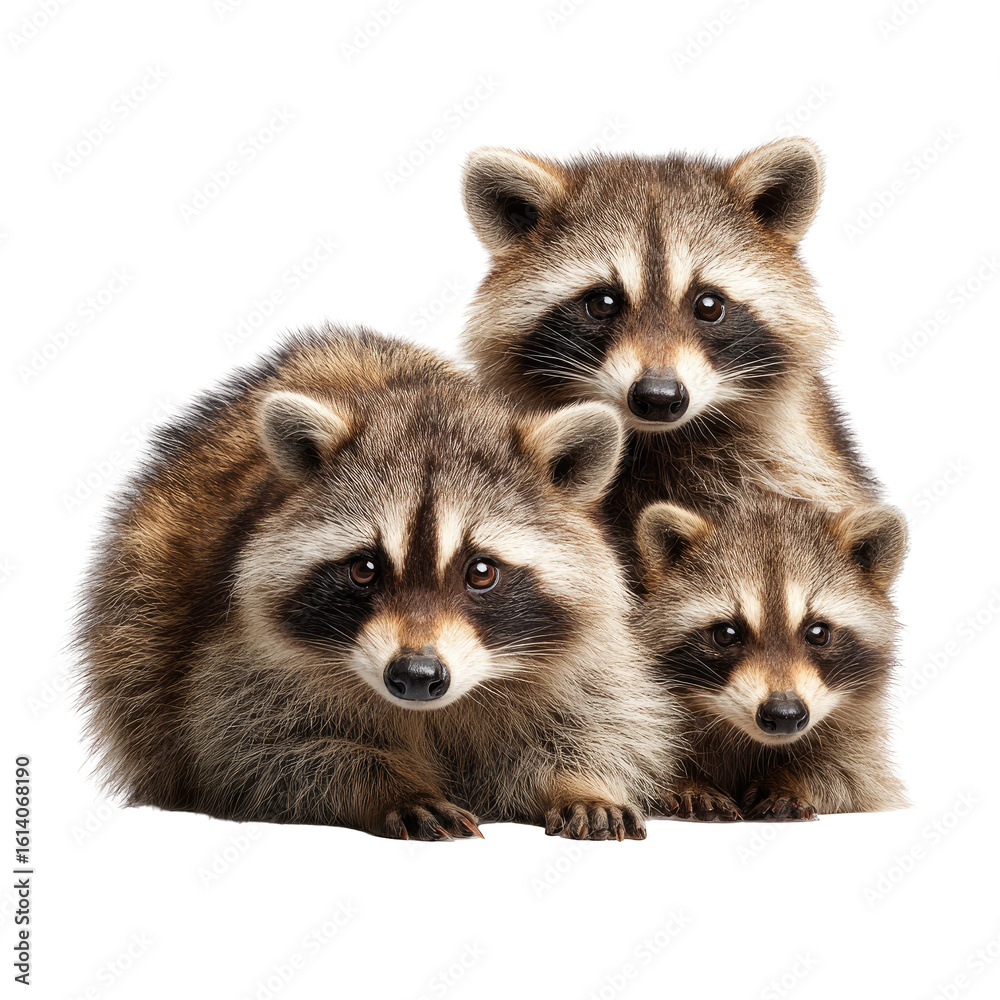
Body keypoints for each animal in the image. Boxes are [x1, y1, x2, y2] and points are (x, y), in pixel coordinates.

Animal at [76, 326, 680, 841]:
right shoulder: (240, 654)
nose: (415, 675)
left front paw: (581, 782)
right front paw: (390, 786)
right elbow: (262, 748)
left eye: (481, 572)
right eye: (365, 568)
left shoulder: (590, 655)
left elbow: (601, 723)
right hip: (139, 602)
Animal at [635, 493, 908, 820]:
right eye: (726, 633)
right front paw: (687, 779)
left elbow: (856, 774)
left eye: (818, 633)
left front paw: (791, 779)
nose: (784, 714)